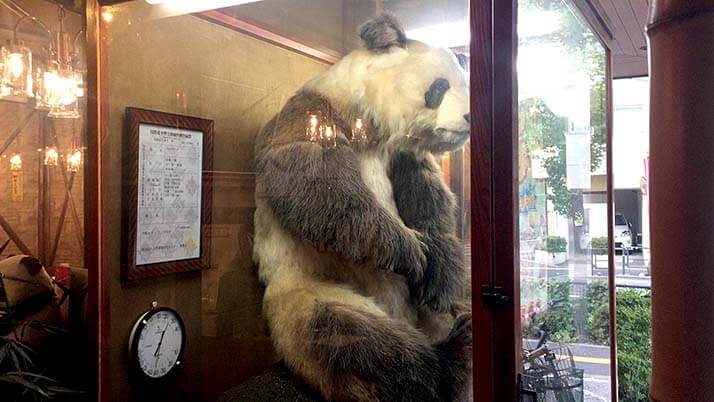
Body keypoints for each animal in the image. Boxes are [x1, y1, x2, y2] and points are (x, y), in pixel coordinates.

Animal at [253, 13, 470, 402]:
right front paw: (411, 250)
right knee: (353, 340)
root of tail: (404, 319)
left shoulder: (402, 154)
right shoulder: (314, 114)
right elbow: (316, 184)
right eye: (440, 87)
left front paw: (435, 268)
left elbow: (428, 199)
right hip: (310, 287)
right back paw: (450, 356)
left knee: (444, 311)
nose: (469, 117)